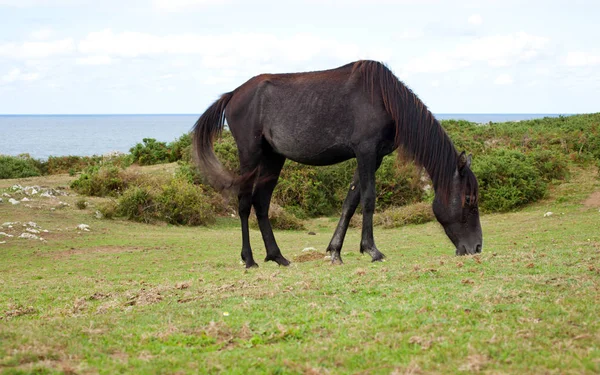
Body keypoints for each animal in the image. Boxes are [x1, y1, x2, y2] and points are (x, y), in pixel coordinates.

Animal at [192, 60, 482, 268]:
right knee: (244, 203)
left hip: (274, 157)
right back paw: (249, 259)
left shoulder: (373, 156)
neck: (385, 99)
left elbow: (350, 202)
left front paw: (335, 251)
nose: (477, 248)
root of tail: (233, 94)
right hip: (250, 155)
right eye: (468, 199)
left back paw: (278, 257)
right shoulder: (365, 151)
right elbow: (368, 199)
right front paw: (372, 250)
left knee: (261, 203)